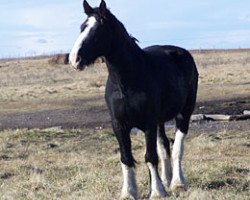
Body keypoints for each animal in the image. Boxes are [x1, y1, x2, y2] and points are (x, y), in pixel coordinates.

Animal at [69, 1, 198, 198]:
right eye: (82, 27)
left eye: (97, 31)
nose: (75, 59)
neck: (126, 81)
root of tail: (182, 53)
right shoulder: (119, 125)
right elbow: (126, 158)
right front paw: (129, 192)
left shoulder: (149, 124)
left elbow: (150, 156)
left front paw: (157, 191)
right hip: (160, 122)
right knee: (164, 147)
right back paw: (167, 179)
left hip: (184, 114)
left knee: (177, 148)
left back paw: (178, 183)